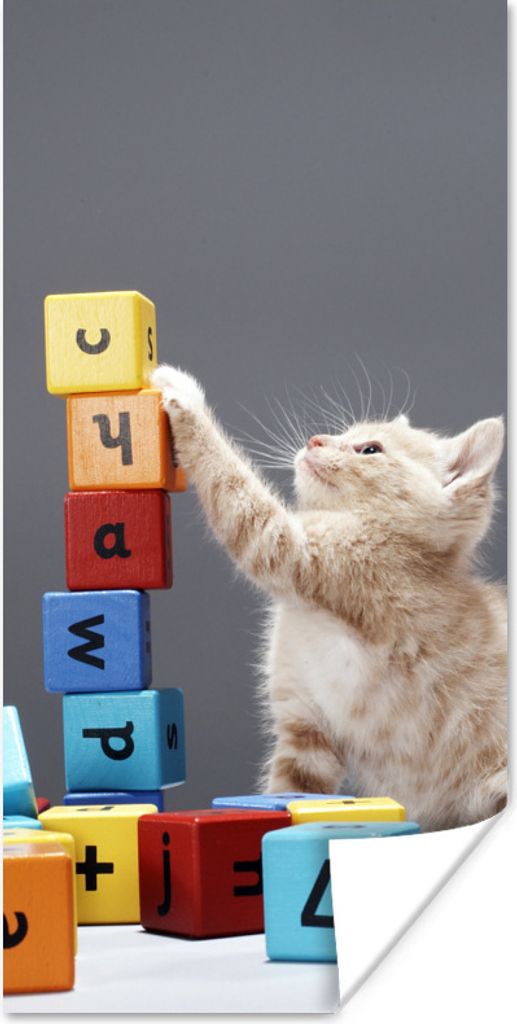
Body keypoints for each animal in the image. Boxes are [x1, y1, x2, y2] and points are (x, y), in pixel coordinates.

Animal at [152, 364, 507, 831]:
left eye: (370, 449)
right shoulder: (304, 727)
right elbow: (290, 793)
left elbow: (235, 492)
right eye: (343, 434)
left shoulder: (303, 552)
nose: (316, 440)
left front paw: (185, 397)